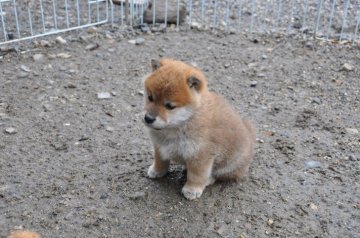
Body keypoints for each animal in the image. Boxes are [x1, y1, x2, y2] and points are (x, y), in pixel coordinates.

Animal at [142, 58, 255, 200]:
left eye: (170, 106)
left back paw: (208, 180)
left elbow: (197, 175)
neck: (183, 123)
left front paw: (192, 189)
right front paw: (157, 171)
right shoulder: (159, 146)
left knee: (221, 175)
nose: (148, 118)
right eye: (150, 97)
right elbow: (160, 161)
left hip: (229, 164)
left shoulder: (200, 154)